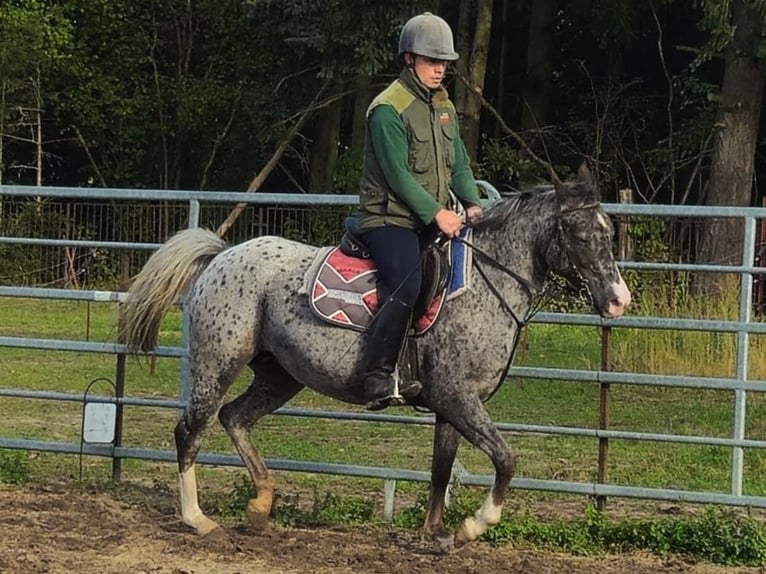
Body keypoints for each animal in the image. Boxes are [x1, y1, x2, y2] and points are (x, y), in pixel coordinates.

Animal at [120, 163, 632, 552]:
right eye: (577, 233)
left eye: (608, 231)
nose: (618, 300)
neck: (485, 285)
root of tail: (222, 256)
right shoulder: (457, 397)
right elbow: (506, 460)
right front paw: (472, 527)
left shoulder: (451, 406)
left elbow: (441, 471)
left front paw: (436, 535)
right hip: (217, 364)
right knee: (191, 430)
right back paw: (198, 519)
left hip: (281, 376)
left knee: (235, 418)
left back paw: (261, 506)